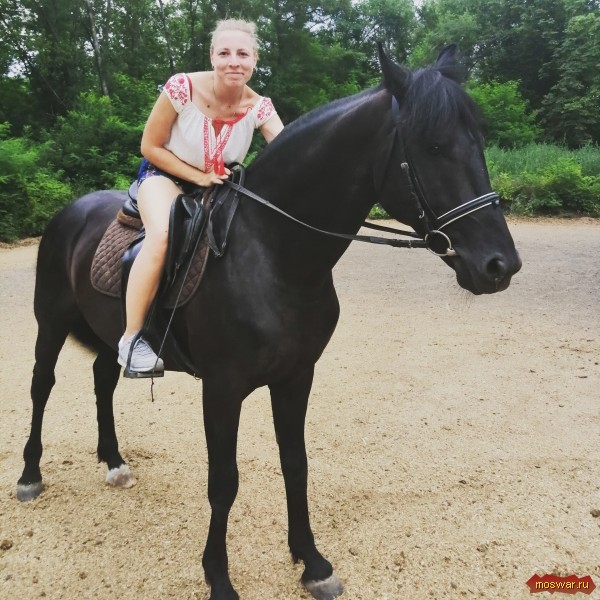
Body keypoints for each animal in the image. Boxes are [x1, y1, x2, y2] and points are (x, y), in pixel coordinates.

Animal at [17, 45, 521, 600]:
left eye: (478, 143)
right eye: (433, 147)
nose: (500, 265)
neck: (272, 253)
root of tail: (72, 210)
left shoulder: (296, 377)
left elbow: (295, 464)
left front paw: (312, 562)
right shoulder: (221, 388)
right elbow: (224, 482)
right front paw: (219, 578)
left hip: (108, 334)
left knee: (103, 379)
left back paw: (113, 462)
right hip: (50, 322)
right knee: (42, 385)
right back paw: (29, 475)